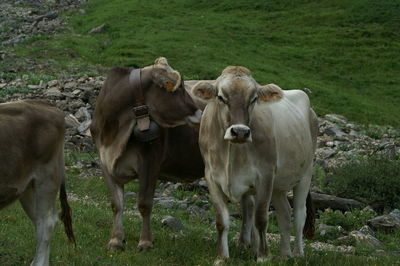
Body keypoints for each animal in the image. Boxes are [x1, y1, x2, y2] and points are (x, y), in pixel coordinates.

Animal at [89, 57, 205, 250]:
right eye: (175, 88)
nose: (200, 113)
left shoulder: (150, 162)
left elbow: (144, 204)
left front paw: (145, 242)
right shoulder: (105, 162)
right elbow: (116, 204)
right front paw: (115, 240)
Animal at [192, 66, 318, 262]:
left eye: (254, 98)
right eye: (221, 97)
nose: (240, 132)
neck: (232, 154)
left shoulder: (265, 176)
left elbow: (260, 219)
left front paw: (263, 256)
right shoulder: (212, 177)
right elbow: (221, 221)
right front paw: (221, 257)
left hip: (305, 174)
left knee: (299, 214)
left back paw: (298, 254)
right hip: (279, 185)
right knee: (284, 214)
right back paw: (285, 254)